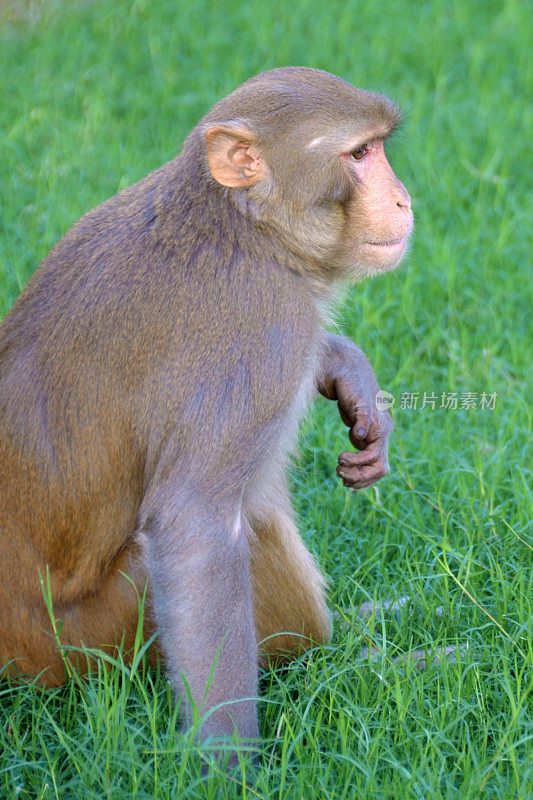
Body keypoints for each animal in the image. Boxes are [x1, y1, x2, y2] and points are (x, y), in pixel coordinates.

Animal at [0, 67, 412, 756]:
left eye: (378, 148)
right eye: (358, 155)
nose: (404, 200)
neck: (243, 228)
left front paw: (352, 377)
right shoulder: (263, 322)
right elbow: (193, 526)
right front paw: (231, 760)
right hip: (99, 638)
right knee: (248, 517)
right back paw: (364, 658)